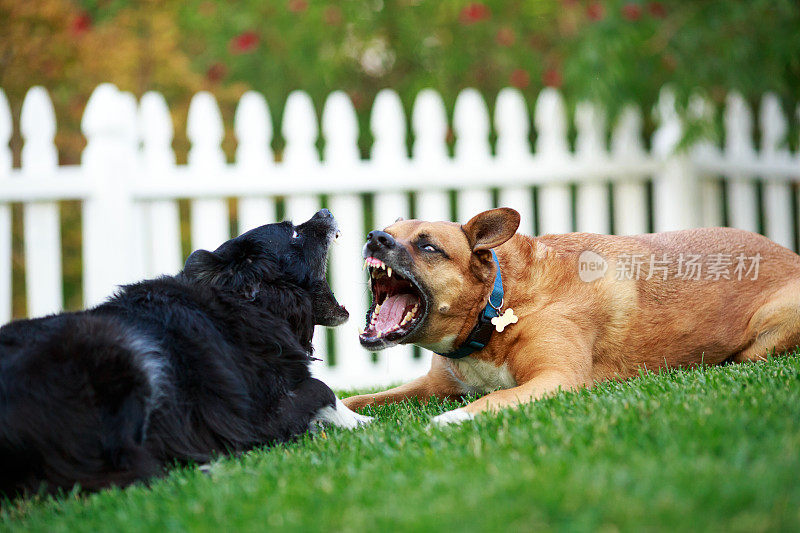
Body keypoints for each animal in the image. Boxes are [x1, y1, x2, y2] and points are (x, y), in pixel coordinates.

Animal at [0, 207, 368, 494]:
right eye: (293, 233)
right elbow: (321, 388)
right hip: (116, 354)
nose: (326, 211)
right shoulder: (254, 418)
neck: (249, 301)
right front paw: (358, 422)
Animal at [344, 208, 800, 424]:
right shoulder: (434, 384)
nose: (375, 237)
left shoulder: (556, 378)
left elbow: (495, 398)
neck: (497, 307)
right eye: (386, 231)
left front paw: (449, 420)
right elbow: (362, 399)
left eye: (428, 247)